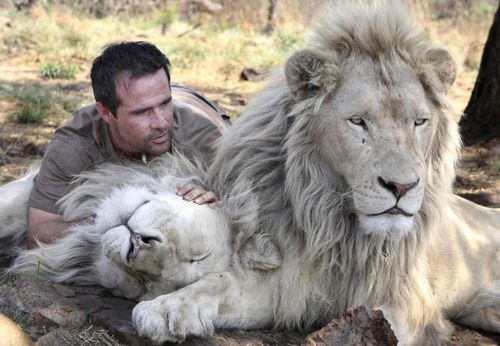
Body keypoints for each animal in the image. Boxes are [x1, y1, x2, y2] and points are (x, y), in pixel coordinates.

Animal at [130, 0, 500, 346]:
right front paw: (166, 309)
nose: (402, 186)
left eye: (419, 122)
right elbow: (217, 283)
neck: (337, 227)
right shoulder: (287, 279)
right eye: (358, 121)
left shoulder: (410, 305)